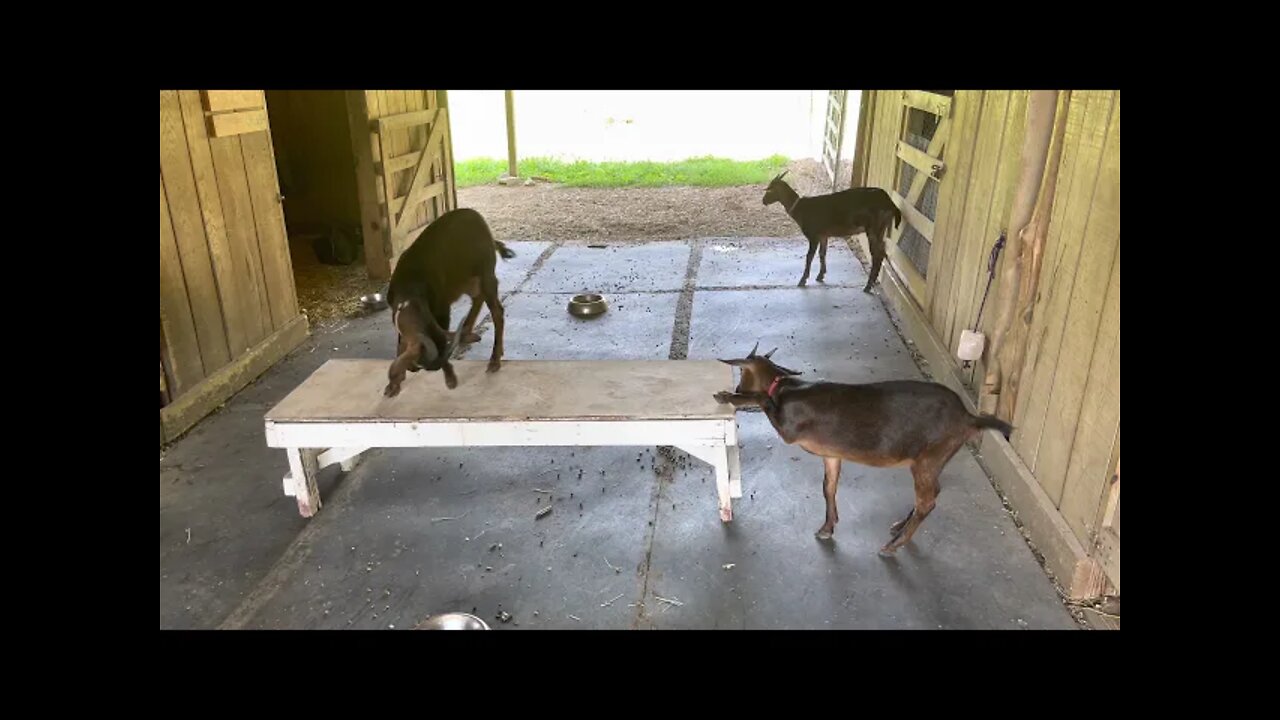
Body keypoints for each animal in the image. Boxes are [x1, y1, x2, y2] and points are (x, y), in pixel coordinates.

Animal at [384, 206, 514, 397]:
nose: (414, 368)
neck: (410, 288)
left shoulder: (441, 308)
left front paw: (450, 380)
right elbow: (401, 342)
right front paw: (393, 386)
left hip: (485, 272)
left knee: (497, 310)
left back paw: (494, 360)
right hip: (465, 279)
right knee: (478, 298)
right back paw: (467, 333)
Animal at [711, 340, 1008, 556]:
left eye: (742, 372)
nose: (737, 386)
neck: (784, 388)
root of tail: (969, 418)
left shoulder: (789, 429)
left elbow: (762, 399)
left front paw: (727, 396)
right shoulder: (832, 454)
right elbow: (828, 487)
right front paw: (828, 527)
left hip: (929, 456)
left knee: (927, 501)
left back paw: (893, 546)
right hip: (937, 457)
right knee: (932, 493)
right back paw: (899, 527)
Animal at [757, 169, 901, 289]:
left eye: (770, 190)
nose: (764, 201)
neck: (800, 209)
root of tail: (891, 204)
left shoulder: (813, 235)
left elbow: (809, 256)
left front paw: (803, 280)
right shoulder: (823, 235)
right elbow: (822, 253)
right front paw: (821, 275)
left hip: (874, 227)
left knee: (877, 254)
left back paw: (868, 286)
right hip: (881, 228)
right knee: (882, 252)